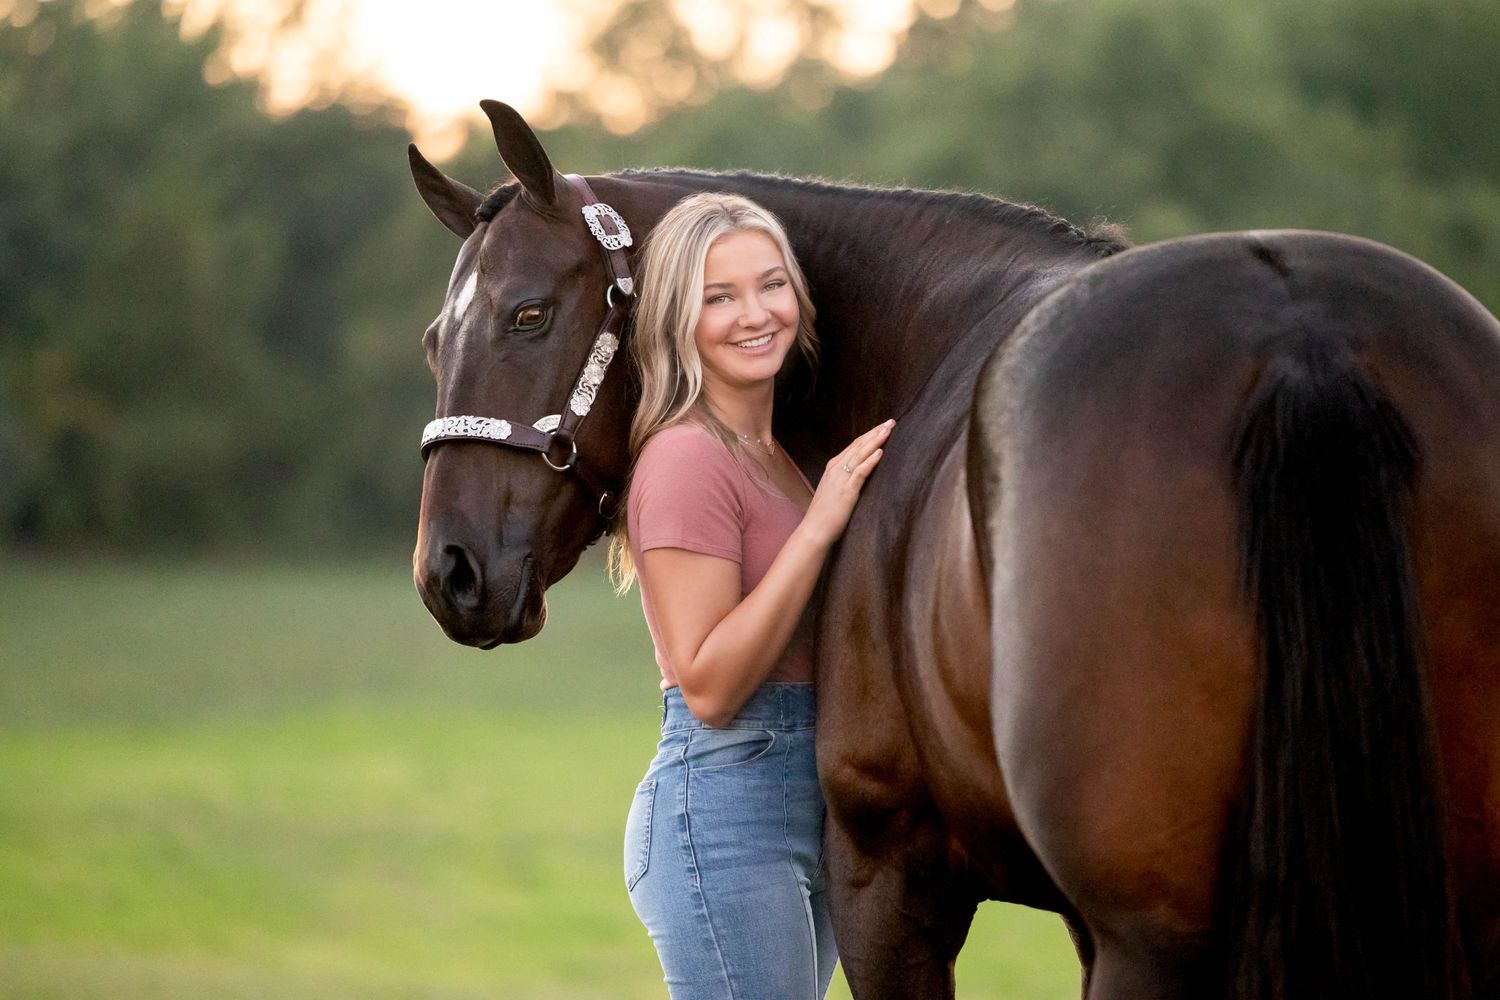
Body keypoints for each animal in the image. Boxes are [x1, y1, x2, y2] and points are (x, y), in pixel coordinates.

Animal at [407, 100, 1500, 998]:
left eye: (529, 313)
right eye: (432, 339)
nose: (449, 570)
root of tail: (1298, 336)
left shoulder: (887, 877)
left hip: (1153, 939)